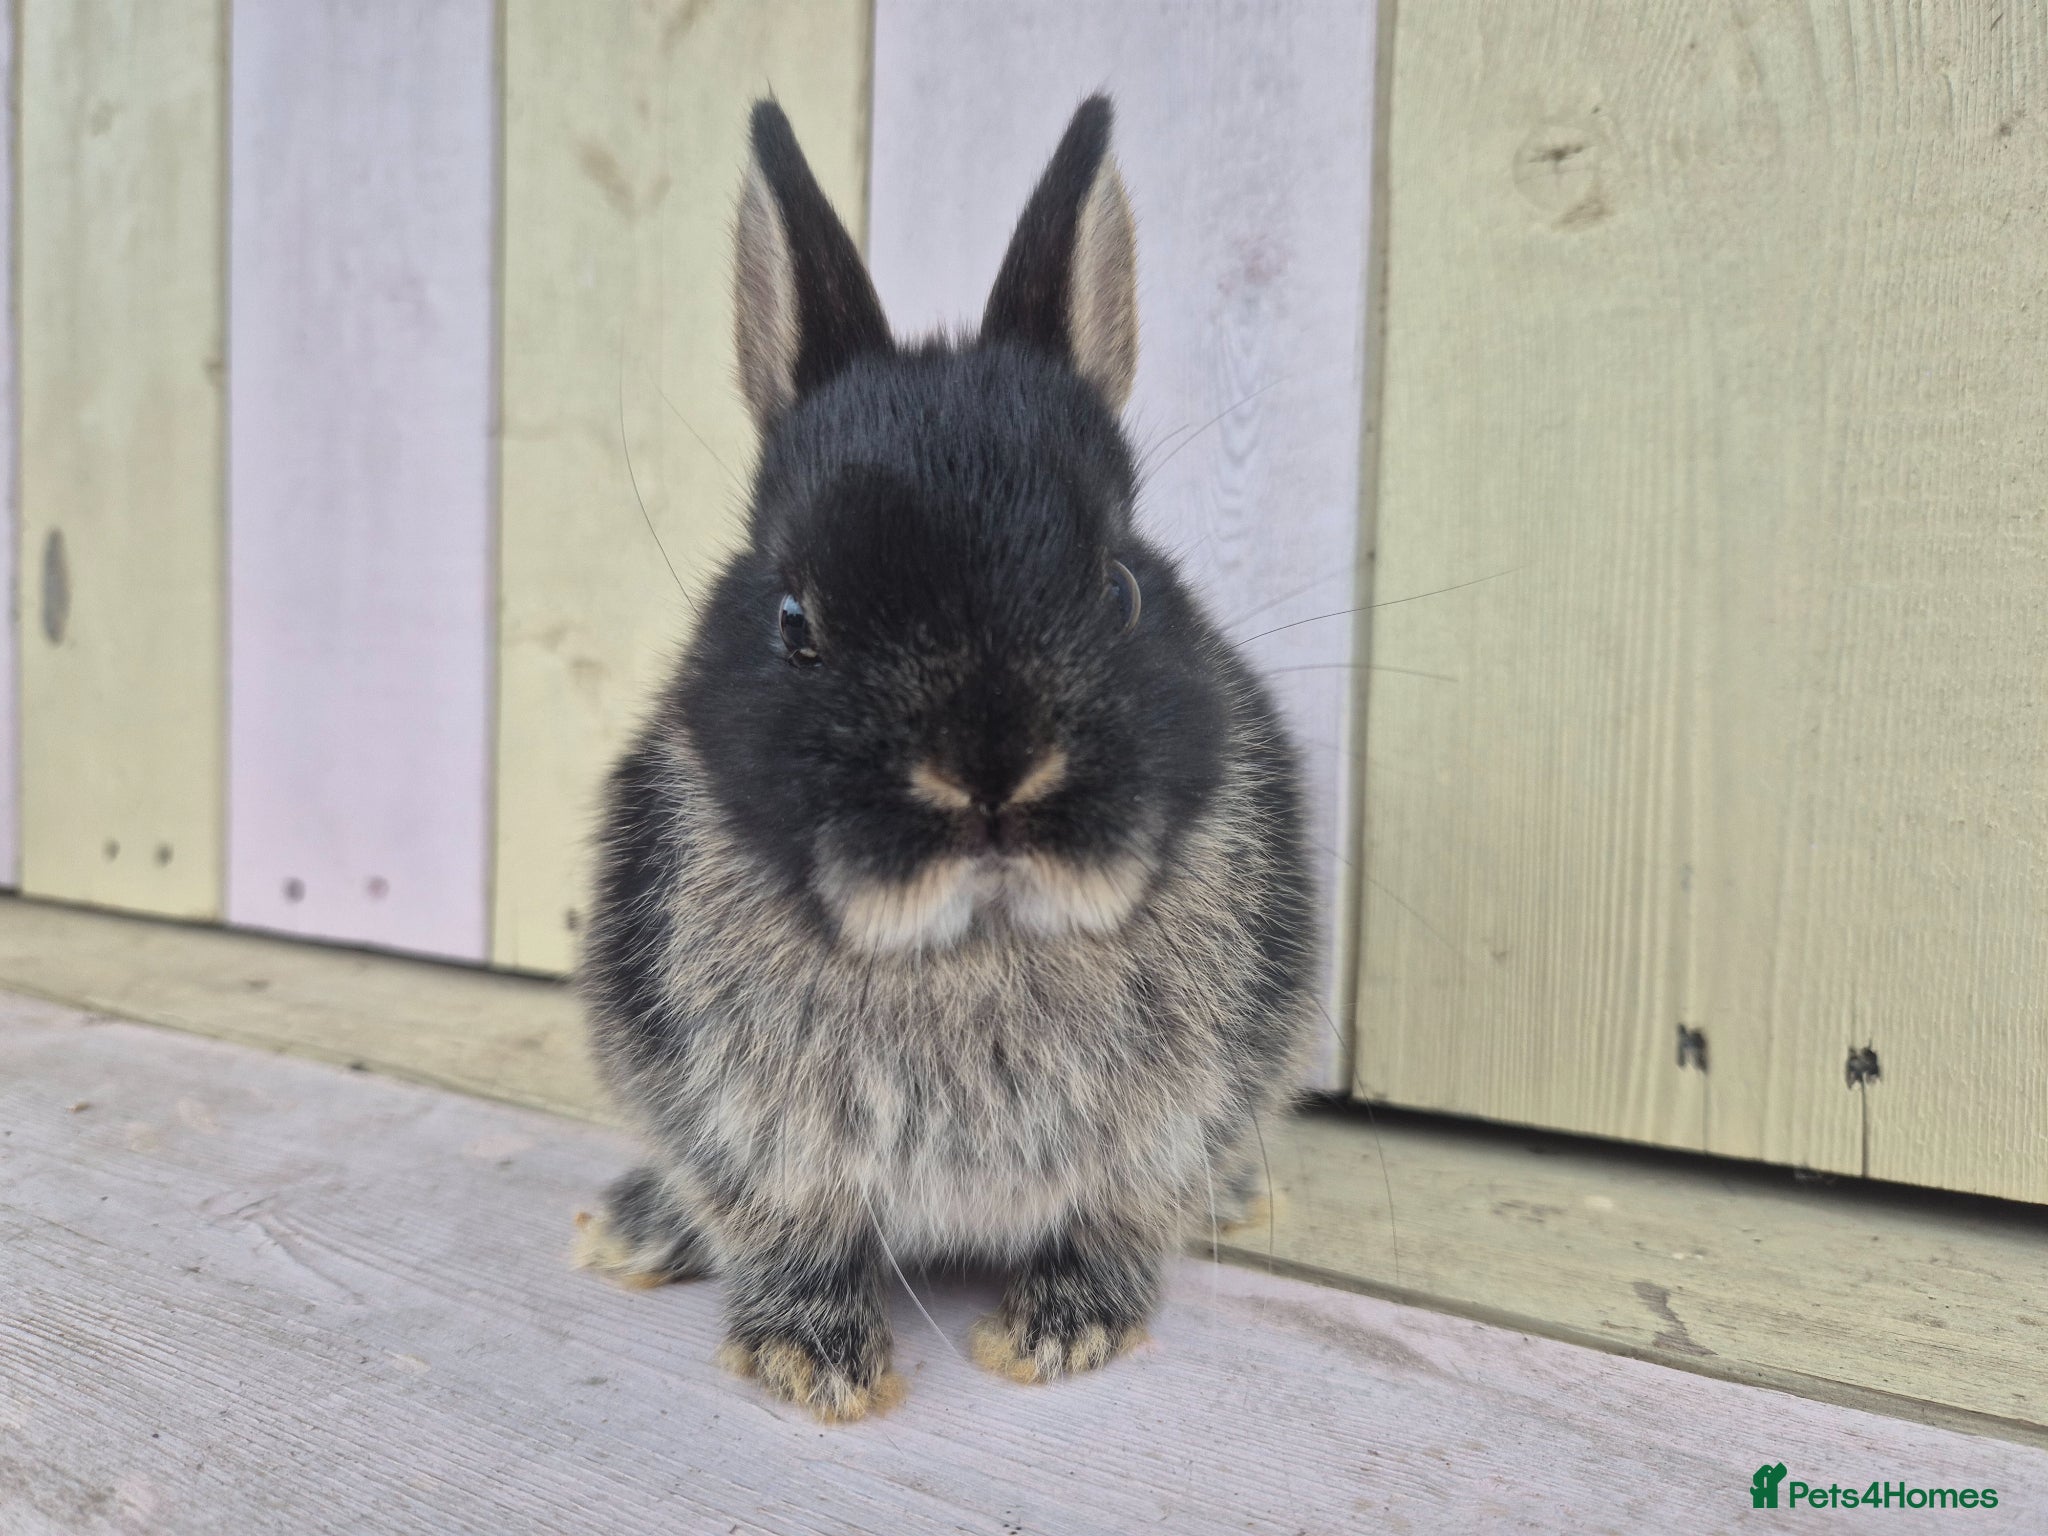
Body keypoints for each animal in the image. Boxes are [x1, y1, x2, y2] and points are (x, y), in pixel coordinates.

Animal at [572, 93, 1317, 1423]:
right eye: (794, 622)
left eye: (1119, 588)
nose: (991, 780)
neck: (974, 941)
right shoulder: (737, 1129)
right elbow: (783, 1225)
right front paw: (810, 1359)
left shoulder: (1170, 1126)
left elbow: (1120, 1220)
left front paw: (1057, 1332)